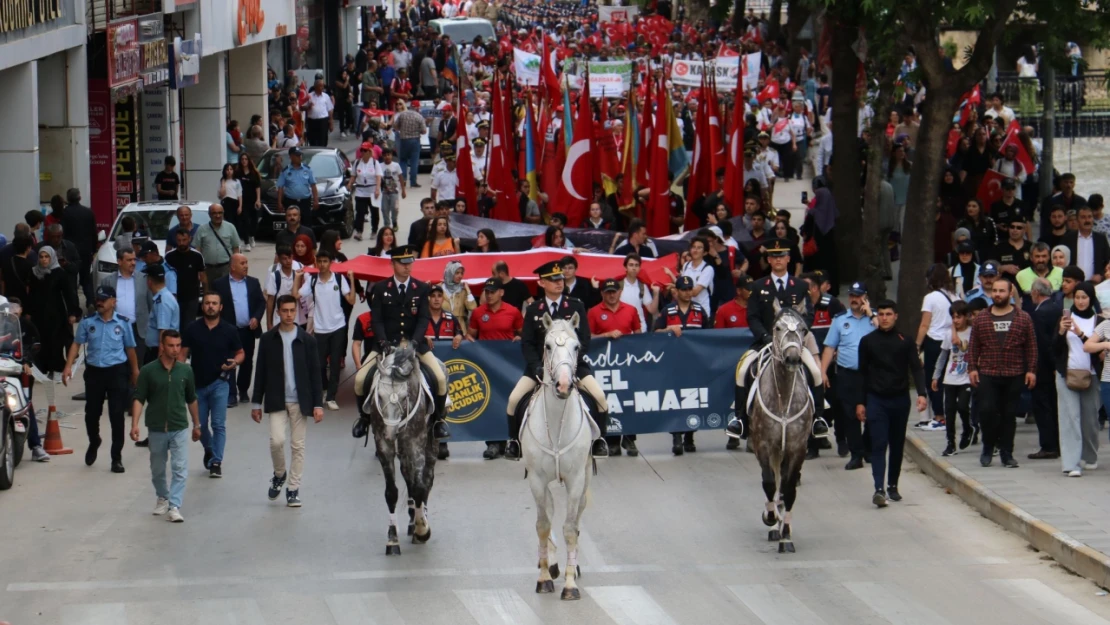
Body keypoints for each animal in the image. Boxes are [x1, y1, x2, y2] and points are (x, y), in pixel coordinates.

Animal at [359, 341, 437, 557]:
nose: (390, 432)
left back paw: (420, 517)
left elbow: (419, 487)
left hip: (430, 443)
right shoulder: (384, 448)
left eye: (404, 397)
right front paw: (392, 540)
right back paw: (412, 519)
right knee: (407, 475)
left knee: (427, 478)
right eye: (379, 395)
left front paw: (422, 530)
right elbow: (392, 492)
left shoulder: (416, 444)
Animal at [521, 317, 594, 599]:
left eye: (577, 347)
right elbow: (543, 525)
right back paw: (551, 565)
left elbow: (571, 528)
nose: (563, 385)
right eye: (548, 346)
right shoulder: (537, 480)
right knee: (550, 510)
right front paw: (544, 578)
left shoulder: (575, 480)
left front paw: (571, 584)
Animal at [745, 306, 816, 555]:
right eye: (777, 328)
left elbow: (789, 489)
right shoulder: (764, 445)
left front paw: (786, 536)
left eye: (803, 328)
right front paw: (769, 517)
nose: (793, 358)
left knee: (783, 485)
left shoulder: (797, 449)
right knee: (775, 482)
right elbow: (769, 483)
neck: (783, 396)